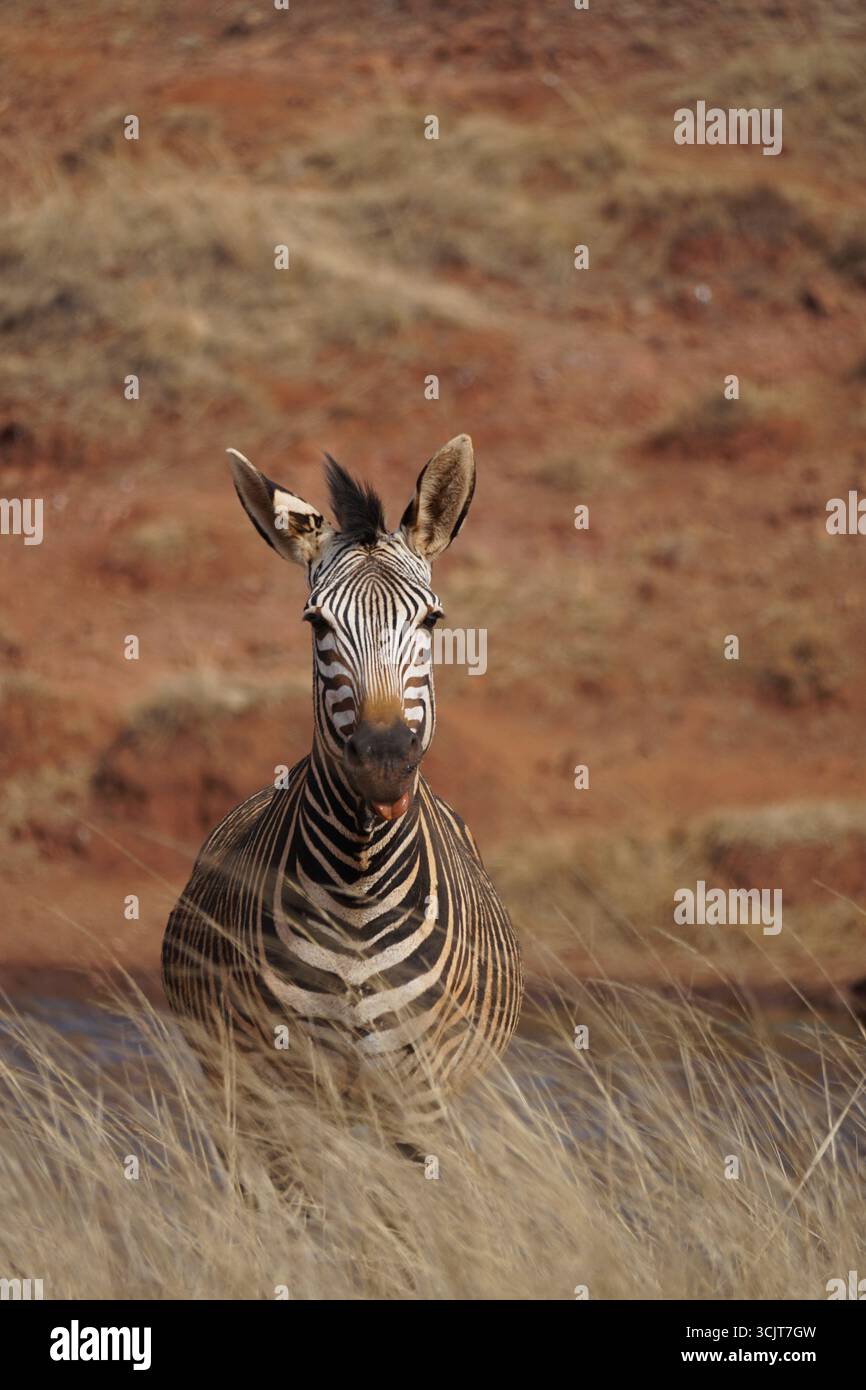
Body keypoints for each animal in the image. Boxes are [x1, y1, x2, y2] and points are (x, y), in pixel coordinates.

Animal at [162, 434, 523, 1140]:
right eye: (316, 624)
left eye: (432, 621)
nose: (383, 762)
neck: (356, 891)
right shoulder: (279, 1092)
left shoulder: (421, 1098)